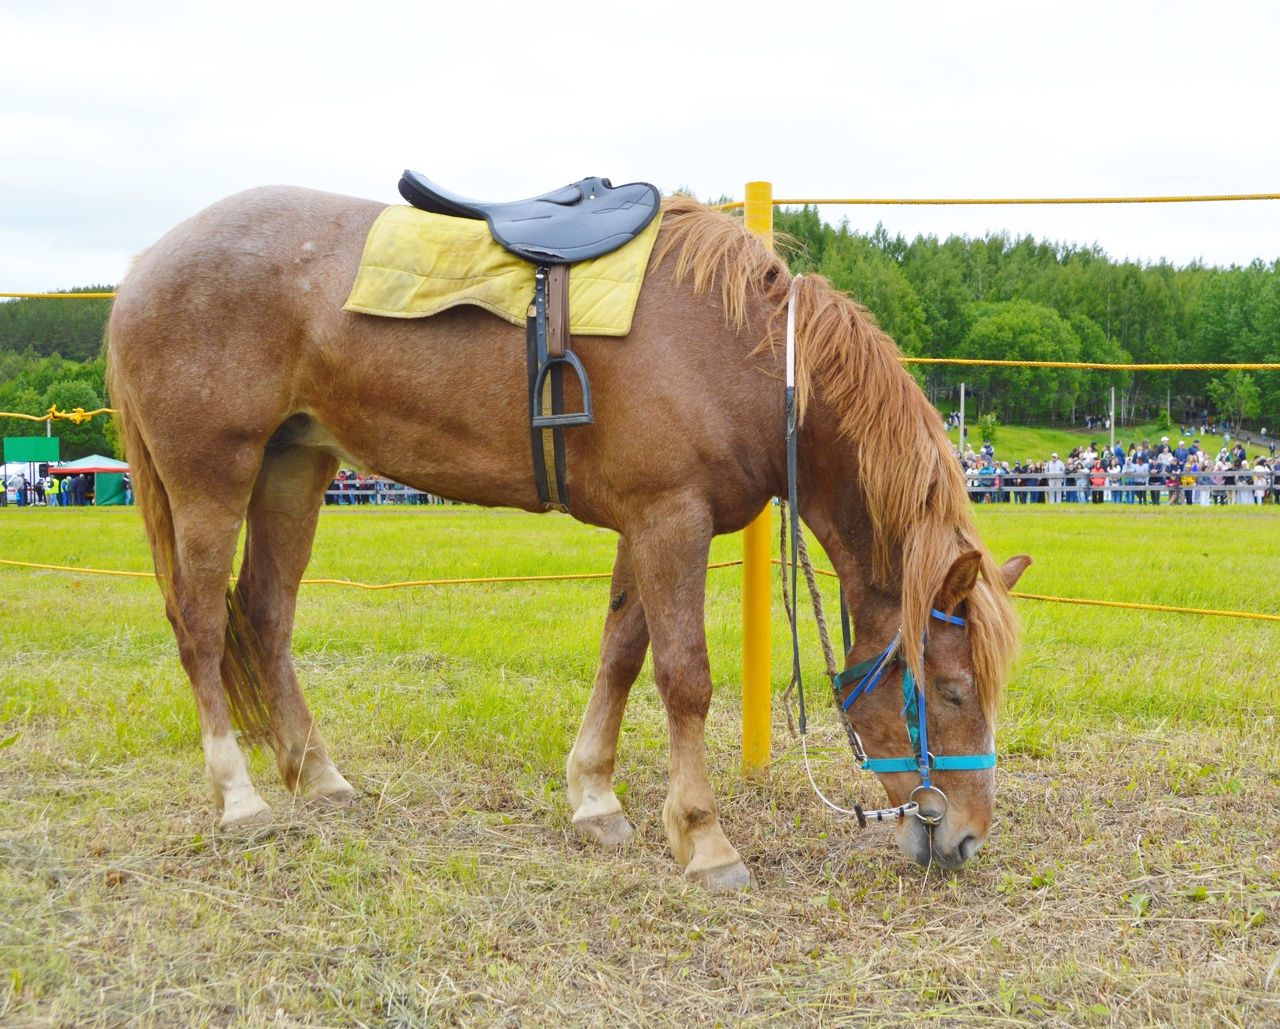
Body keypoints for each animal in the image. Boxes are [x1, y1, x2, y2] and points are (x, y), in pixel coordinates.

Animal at [107, 189, 1029, 890]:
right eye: (952, 692)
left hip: (294, 468)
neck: (751, 360)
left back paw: (319, 775)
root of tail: (146, 262)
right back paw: (240, 799)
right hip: (212, 477)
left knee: (265, 614)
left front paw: (595, 798)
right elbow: (684, 676)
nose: (967, 837)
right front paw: (704, 839)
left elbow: (621, 652)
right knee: (199, 625)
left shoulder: (649, 524)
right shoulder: (671, 519)